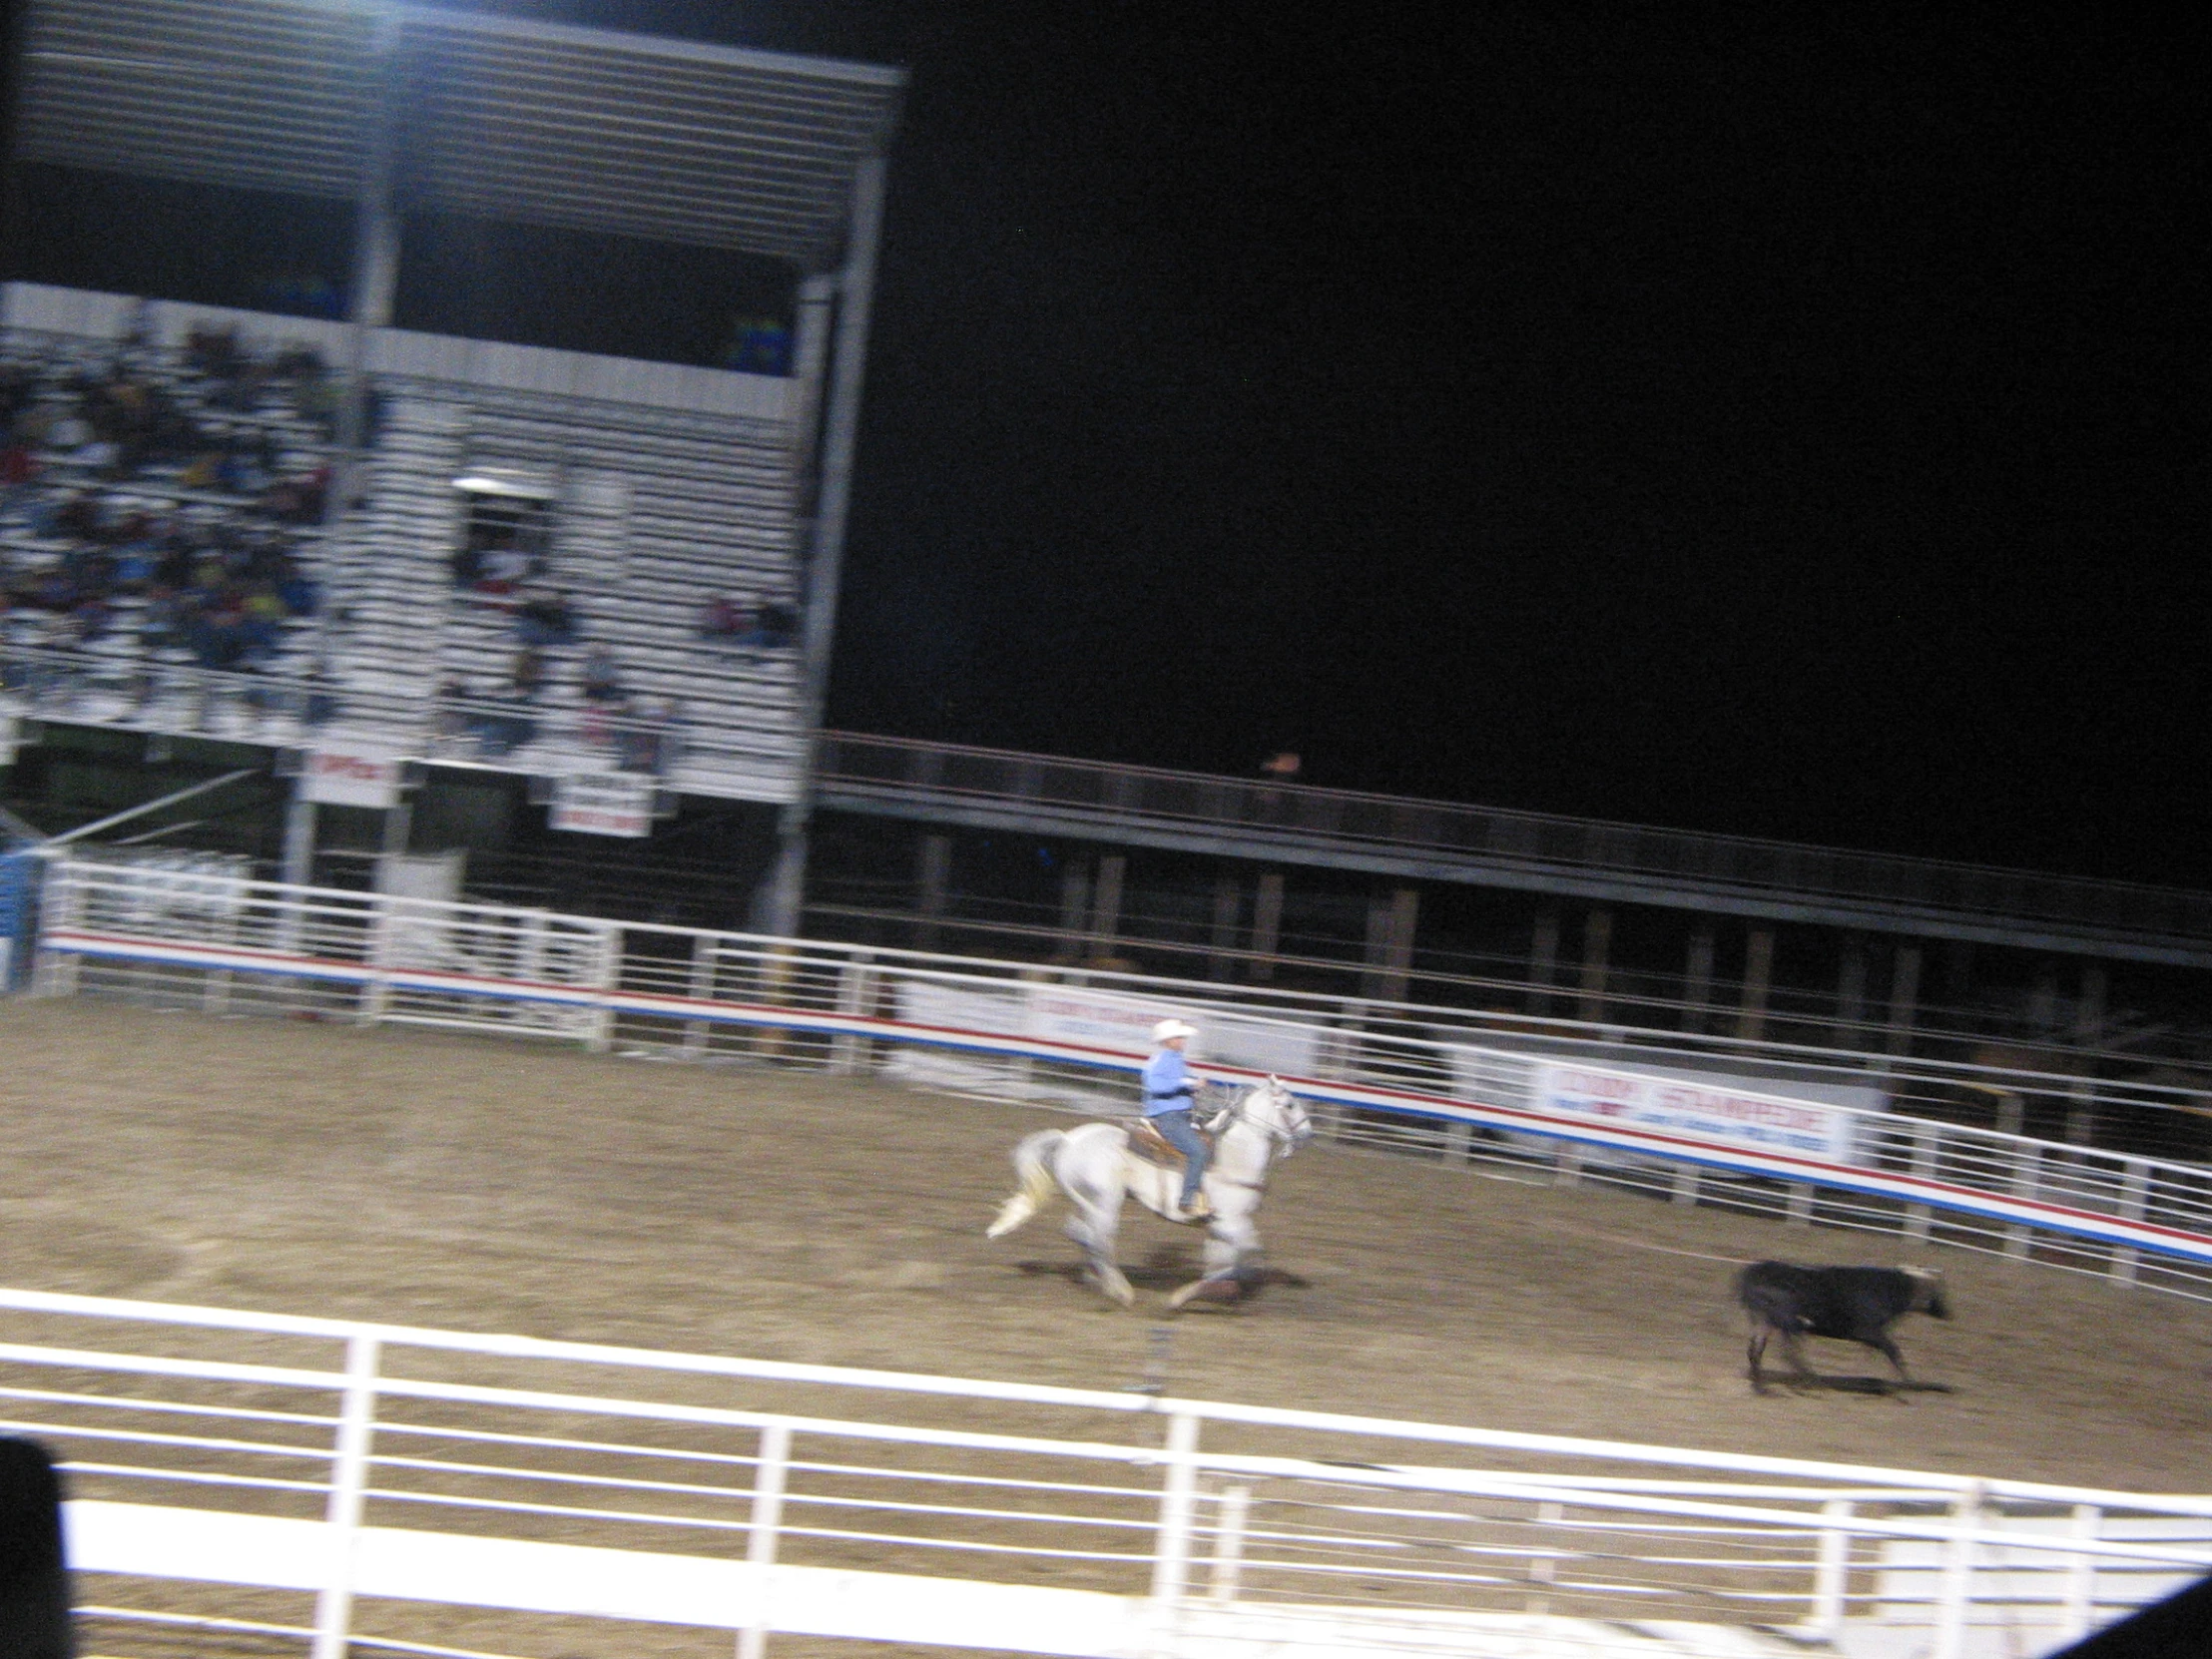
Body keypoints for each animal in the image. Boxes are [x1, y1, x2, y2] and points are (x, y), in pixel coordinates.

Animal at [990, 1083, 1309, 1318]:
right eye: (1290, 1105)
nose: (1308, 1133)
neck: (1234, 1159)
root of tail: (1068, 1140)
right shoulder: (1232, 1222)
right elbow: (1249, 1260)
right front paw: (1179, 1299)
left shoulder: (1219, 1225)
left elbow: (1221, 1268)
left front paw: (1201, 1296)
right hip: (1105, 1202)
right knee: (1099, 1240)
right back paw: (1119, 1291)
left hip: (1087, 1200)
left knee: (1078, 1231)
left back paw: (1095, 1279)